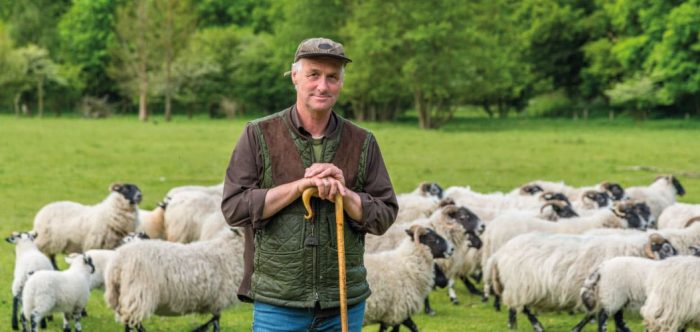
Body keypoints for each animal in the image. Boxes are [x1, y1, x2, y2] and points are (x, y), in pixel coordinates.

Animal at [102, 227, 246, 330]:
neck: (230, 250)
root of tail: (119, 260)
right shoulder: (219, 300)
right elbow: (216, 323)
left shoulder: (216, 302)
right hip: (138, 294)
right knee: (133, 323)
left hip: (119, 295)